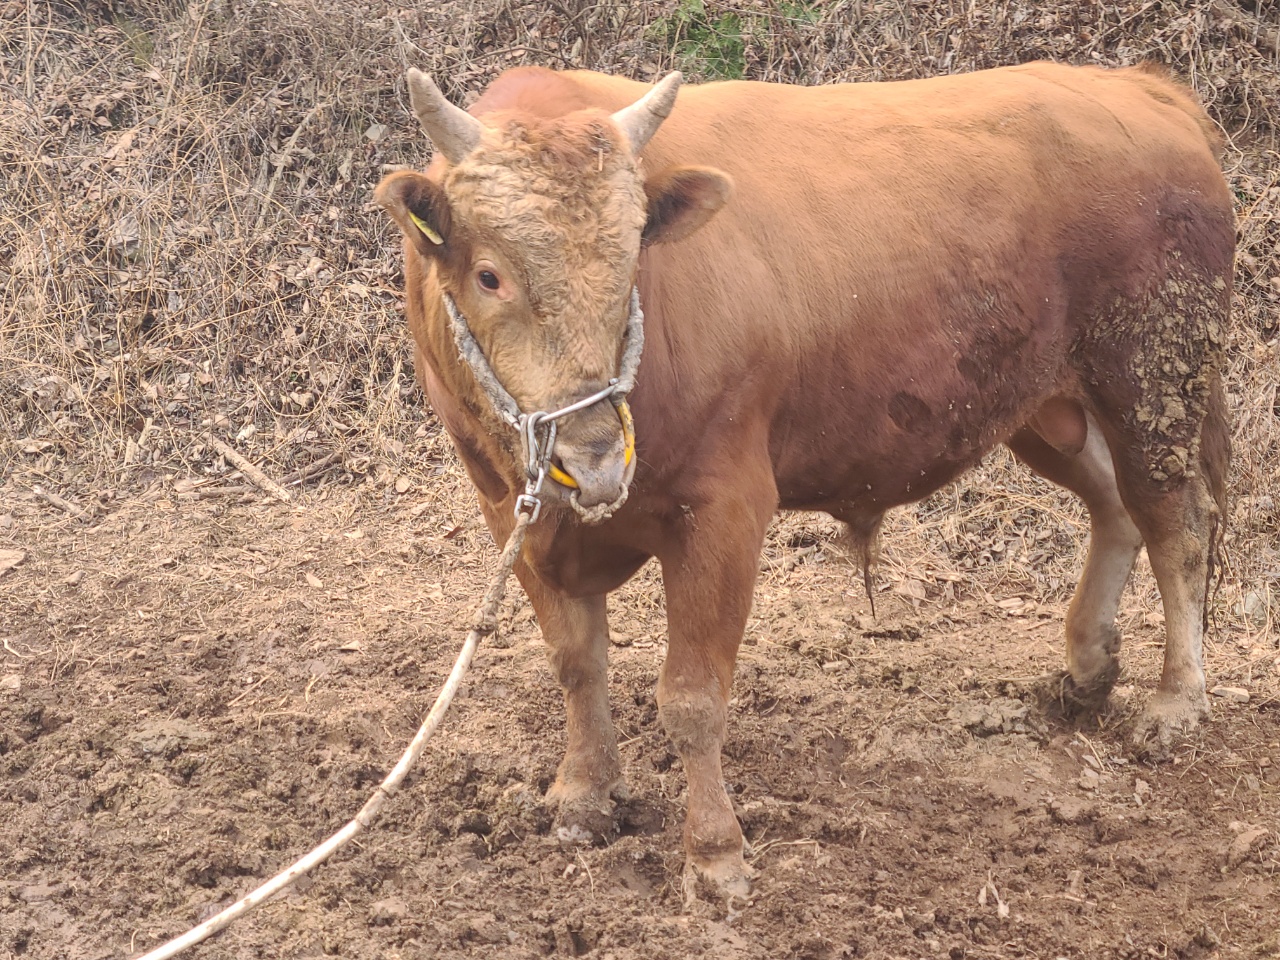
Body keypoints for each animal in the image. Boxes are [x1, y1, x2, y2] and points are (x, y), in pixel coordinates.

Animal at [373, 64, 1233, 901]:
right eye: (490, 275)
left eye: (629, 267)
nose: (593, 458)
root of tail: (1142, 87)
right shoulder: (506, 508)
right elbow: (577, 661)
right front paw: (583, 794)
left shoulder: (725, 507)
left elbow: (693, 697)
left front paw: (714, 854)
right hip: (1042, 405)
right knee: (1114, 505)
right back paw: (1088, 669)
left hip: (1151, 379)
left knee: (1177, 524)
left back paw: (1176, 701)